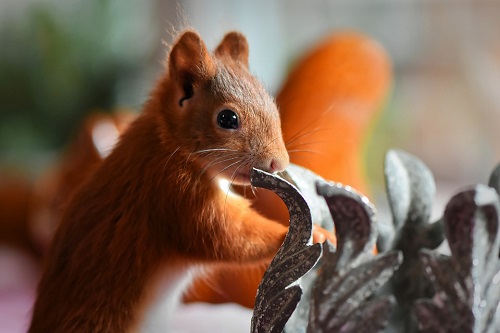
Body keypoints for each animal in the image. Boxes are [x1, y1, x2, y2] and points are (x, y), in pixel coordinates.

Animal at [28, 29, 292, 330]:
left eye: (272, 104)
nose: (280, 163)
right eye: (227, 118)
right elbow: (226, 235)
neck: (170, 144)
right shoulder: (174, 194)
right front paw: (305, 233)